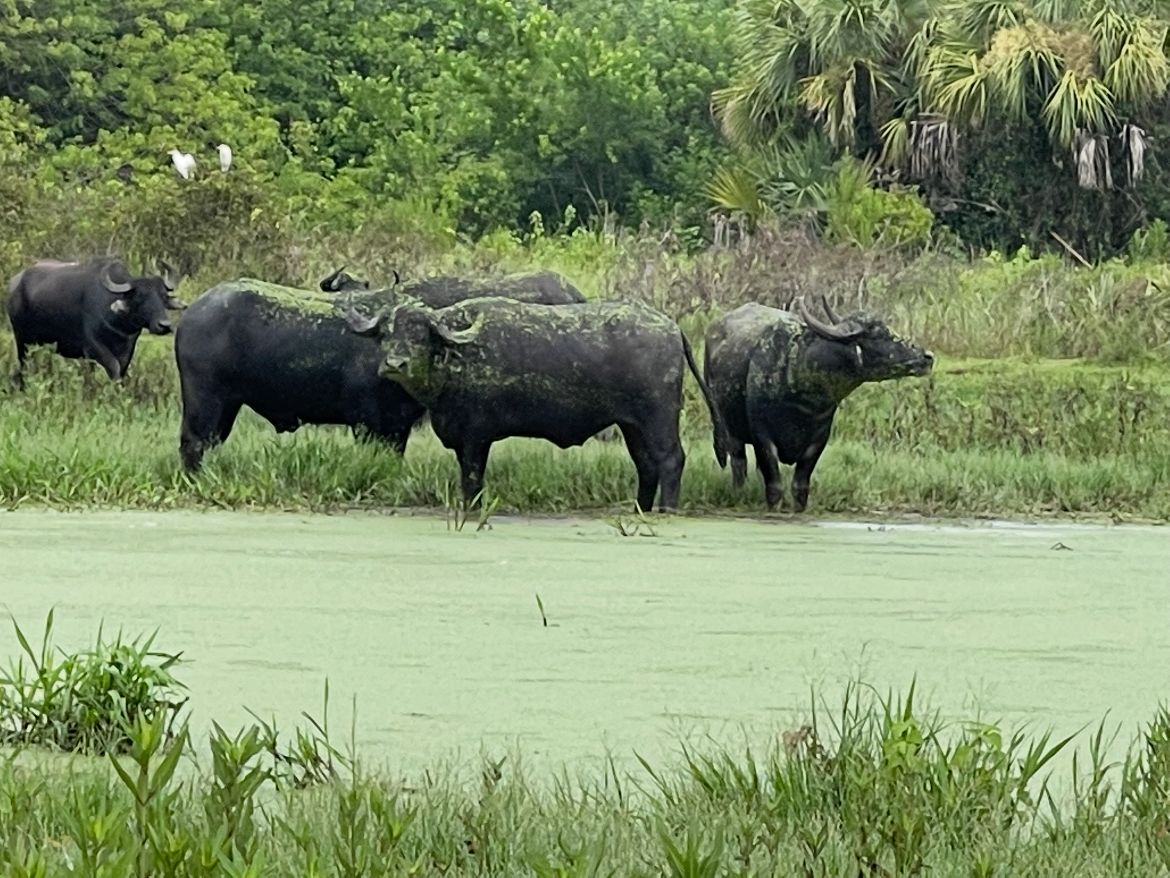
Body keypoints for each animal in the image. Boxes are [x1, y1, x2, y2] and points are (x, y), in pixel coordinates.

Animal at [5, 256, 185, 387]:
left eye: (163, 296)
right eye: (139, 297)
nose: (164, 325)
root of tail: (15, 282)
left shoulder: (128, 348)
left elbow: (121, 370)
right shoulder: (93, 347)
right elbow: (114, 367)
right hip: (22, 340)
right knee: (23, 366)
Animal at [174, 271, 588, 471]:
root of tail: (193, 314)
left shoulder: (397, 424)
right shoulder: (368, 423)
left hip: (227, 407)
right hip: (204, 401)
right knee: (192, 443)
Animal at [346, 297, 730, 511]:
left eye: (420, 333)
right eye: (388, 332)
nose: (395, 364)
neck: (457, 357)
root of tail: (671, 329)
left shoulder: (476, 438)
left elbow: (472, 481)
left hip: (658, 419)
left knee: (671, 461)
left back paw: (667, 510)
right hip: (631, 426)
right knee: (647, 467)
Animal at [704, 297, 933, 512]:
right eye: (878, 334)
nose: (927, 356)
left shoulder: (819, 438)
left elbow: (800, 486)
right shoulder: (762, 437)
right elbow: (775, 485)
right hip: (727, 427)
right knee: (739, 463)